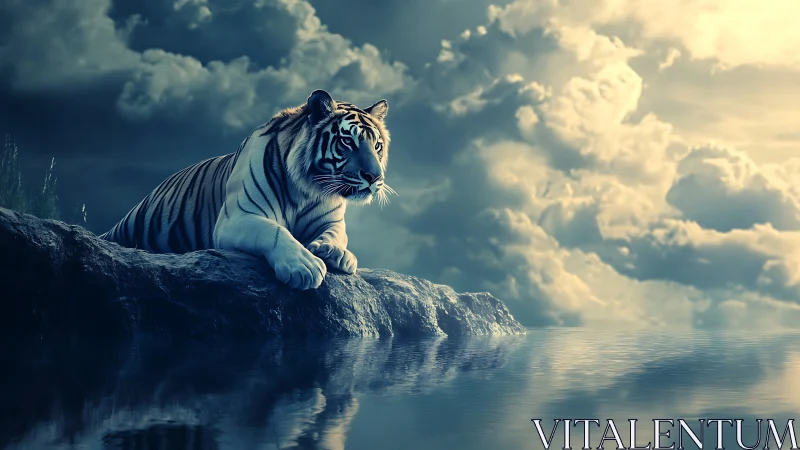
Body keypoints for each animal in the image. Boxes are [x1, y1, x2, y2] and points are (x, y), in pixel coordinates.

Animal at [99, 89, 394, 290]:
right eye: (348, 142)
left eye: (377, 145)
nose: (374, 177)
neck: (308, 189)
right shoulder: (237, 217)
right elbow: (274, 231)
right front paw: (304, 266)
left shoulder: (331, 220)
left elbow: (337, 234)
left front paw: (335, 253)